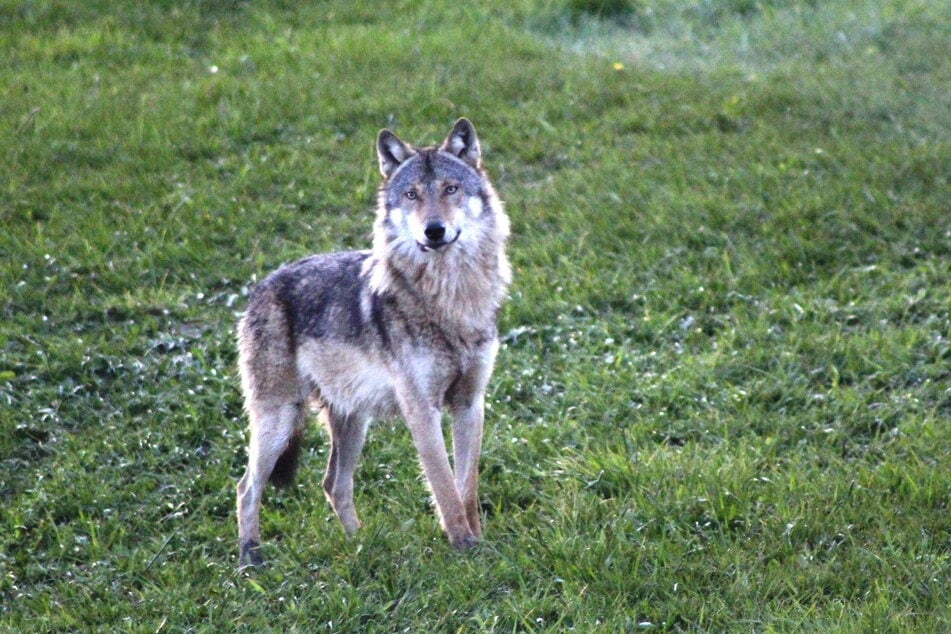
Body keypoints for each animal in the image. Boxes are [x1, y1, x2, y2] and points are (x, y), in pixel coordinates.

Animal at [234, 118, 510, 564]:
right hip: (279, 420)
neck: (449, 299)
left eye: (451, 188)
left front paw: (479, 541)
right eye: (412, 195)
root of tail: (262, 285)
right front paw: (464, 548)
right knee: (247, 486)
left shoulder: (470, 404)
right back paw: (250, 558)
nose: (434, 230)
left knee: (333, 483)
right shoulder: (422, 409)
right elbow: (444, 488)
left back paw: (359, 546)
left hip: (352, 422)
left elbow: (466, 487)